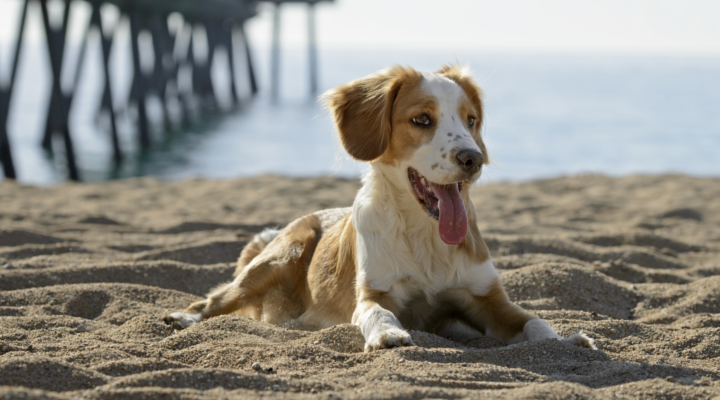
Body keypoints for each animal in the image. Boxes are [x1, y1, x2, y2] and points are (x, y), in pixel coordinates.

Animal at [165, 64, 596, 352]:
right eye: (421, 119)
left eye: (471, 120)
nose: (473, 159)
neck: (425, 236)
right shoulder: (375, 292)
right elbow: (376, 312)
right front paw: (388, 334)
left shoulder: (486, 300)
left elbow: (535, 321)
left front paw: (567, 339)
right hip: (281, 257)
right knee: (214, 299)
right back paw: (182, 318)